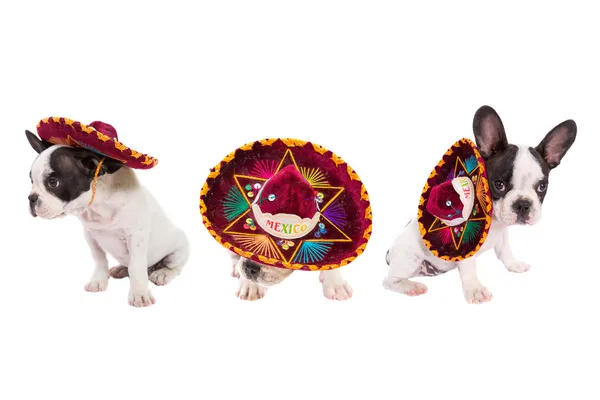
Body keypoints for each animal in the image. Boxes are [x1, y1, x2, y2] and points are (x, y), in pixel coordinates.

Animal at [25, 117, 189, 308]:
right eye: (31, 181)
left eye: (53, 183)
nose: (31, 198)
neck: (97, 206)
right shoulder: (90, 235)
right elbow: (99, 259)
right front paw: (98, 281)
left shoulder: (136, 237)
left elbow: (136, 266)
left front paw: (139, 294)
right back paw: (121, 269)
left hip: (178, 250)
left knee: (175, 266)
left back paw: (162, 273)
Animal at [384, 106, 576, 304]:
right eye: (499, 184)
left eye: (542, 186)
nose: (523, 204)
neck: (495, 220)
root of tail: (390, 253)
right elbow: (469, 266)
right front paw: (475, 289)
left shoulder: (503, 233)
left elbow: (505, 250)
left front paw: (514, 264)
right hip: (408, 258)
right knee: (389, 280)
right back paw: (411, 287)